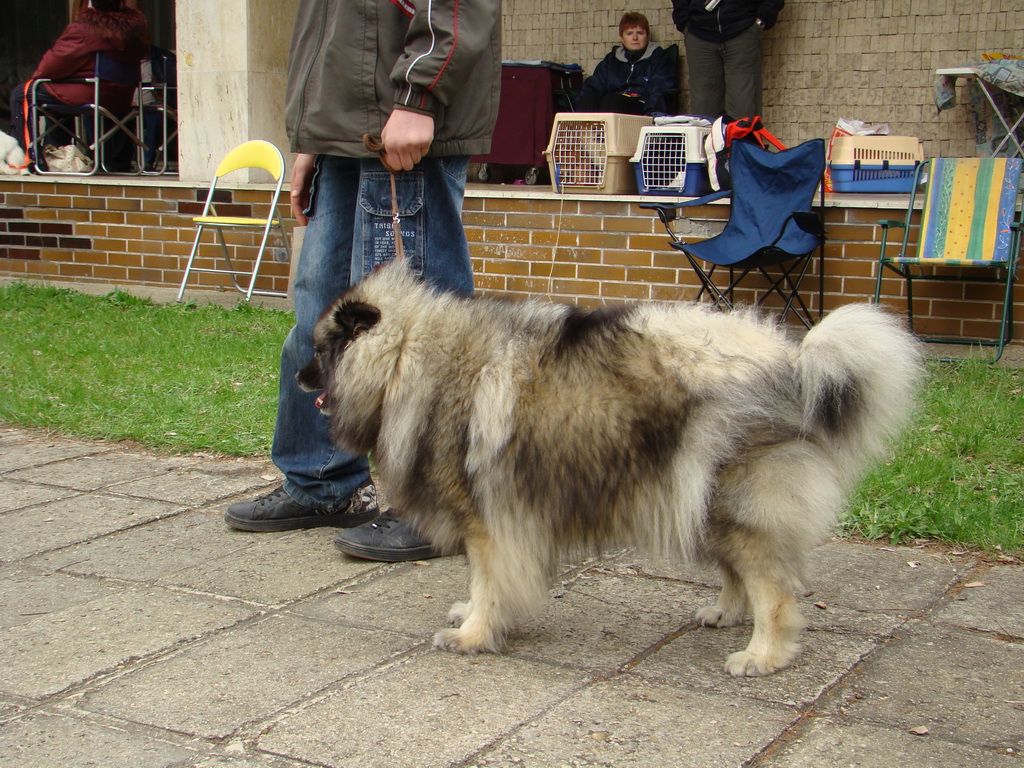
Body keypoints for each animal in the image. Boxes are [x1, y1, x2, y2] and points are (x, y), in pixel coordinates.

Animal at [299, 262, 921, 675]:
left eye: (321, 350)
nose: (300, 378)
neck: (408, 356)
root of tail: (796, 363)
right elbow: (483, 582)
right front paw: (472, 616)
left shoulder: (490, 521)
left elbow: (489, 580)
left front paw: (475, 635)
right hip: (696, 500)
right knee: (738, 573)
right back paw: (723, 613)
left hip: (732, 501)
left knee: (772, 589)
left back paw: (762, 655)